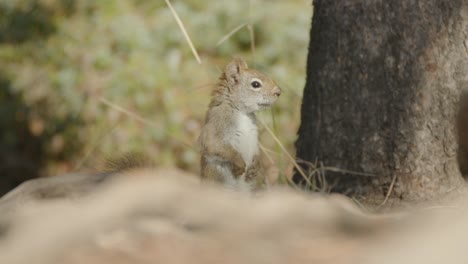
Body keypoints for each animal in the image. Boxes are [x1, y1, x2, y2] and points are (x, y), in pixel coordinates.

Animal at [198, 57, 282, 190]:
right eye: (255, 84)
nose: (278, 92)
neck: (243, 113)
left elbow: (257, 150)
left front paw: (256, 164)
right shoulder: (217, 123)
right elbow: (215, 145)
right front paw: (238, 161)